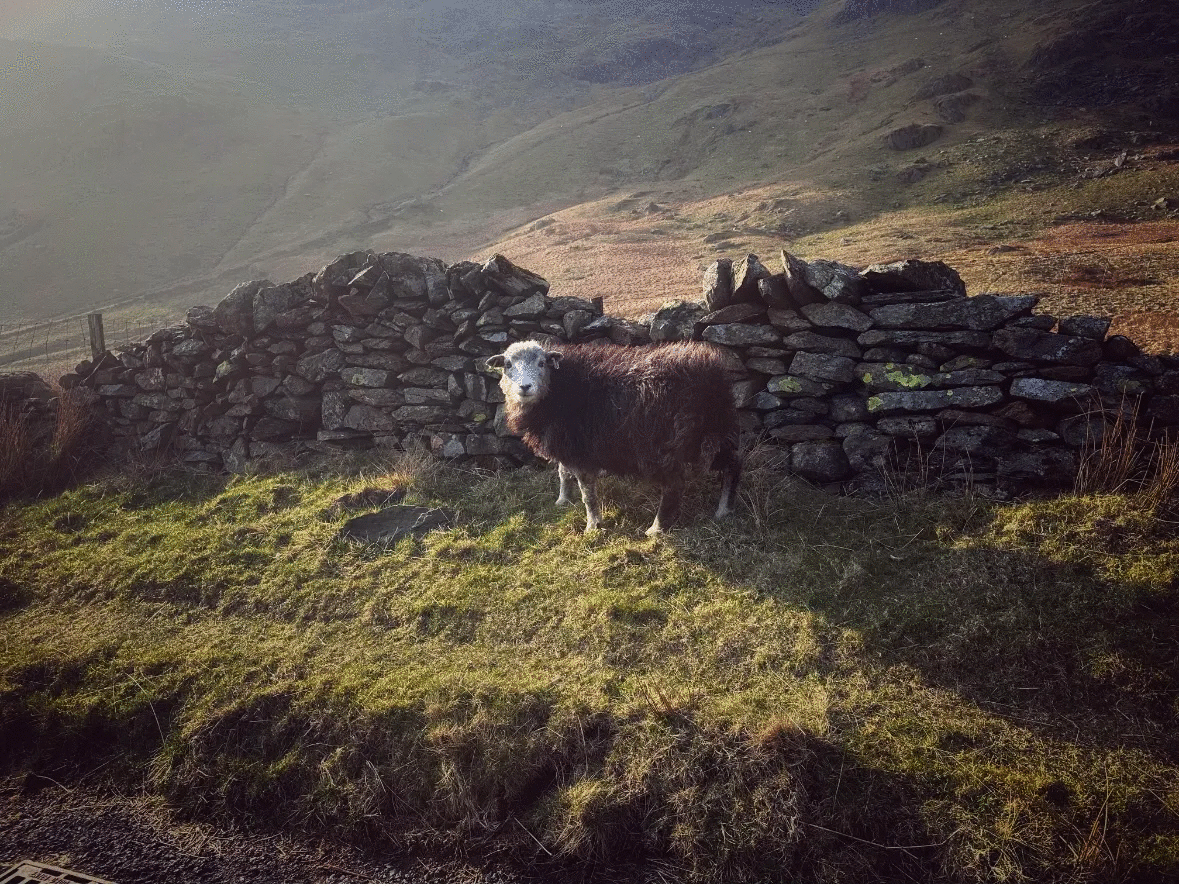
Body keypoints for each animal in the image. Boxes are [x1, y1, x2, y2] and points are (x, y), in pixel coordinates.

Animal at [486, 340, 742, 535]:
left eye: (541, 363)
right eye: (508, 365)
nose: (524, 387)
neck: (560, 389)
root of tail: (711, 376)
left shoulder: (580, 451)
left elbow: (588, 494)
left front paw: (593, 526)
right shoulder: (567, 444)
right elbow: (562, 472)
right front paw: (563, 500)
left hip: (666, 447)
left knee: (674, 486)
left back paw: (656, 529)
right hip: (711, 434)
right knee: (733, 463)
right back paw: (724, 509)